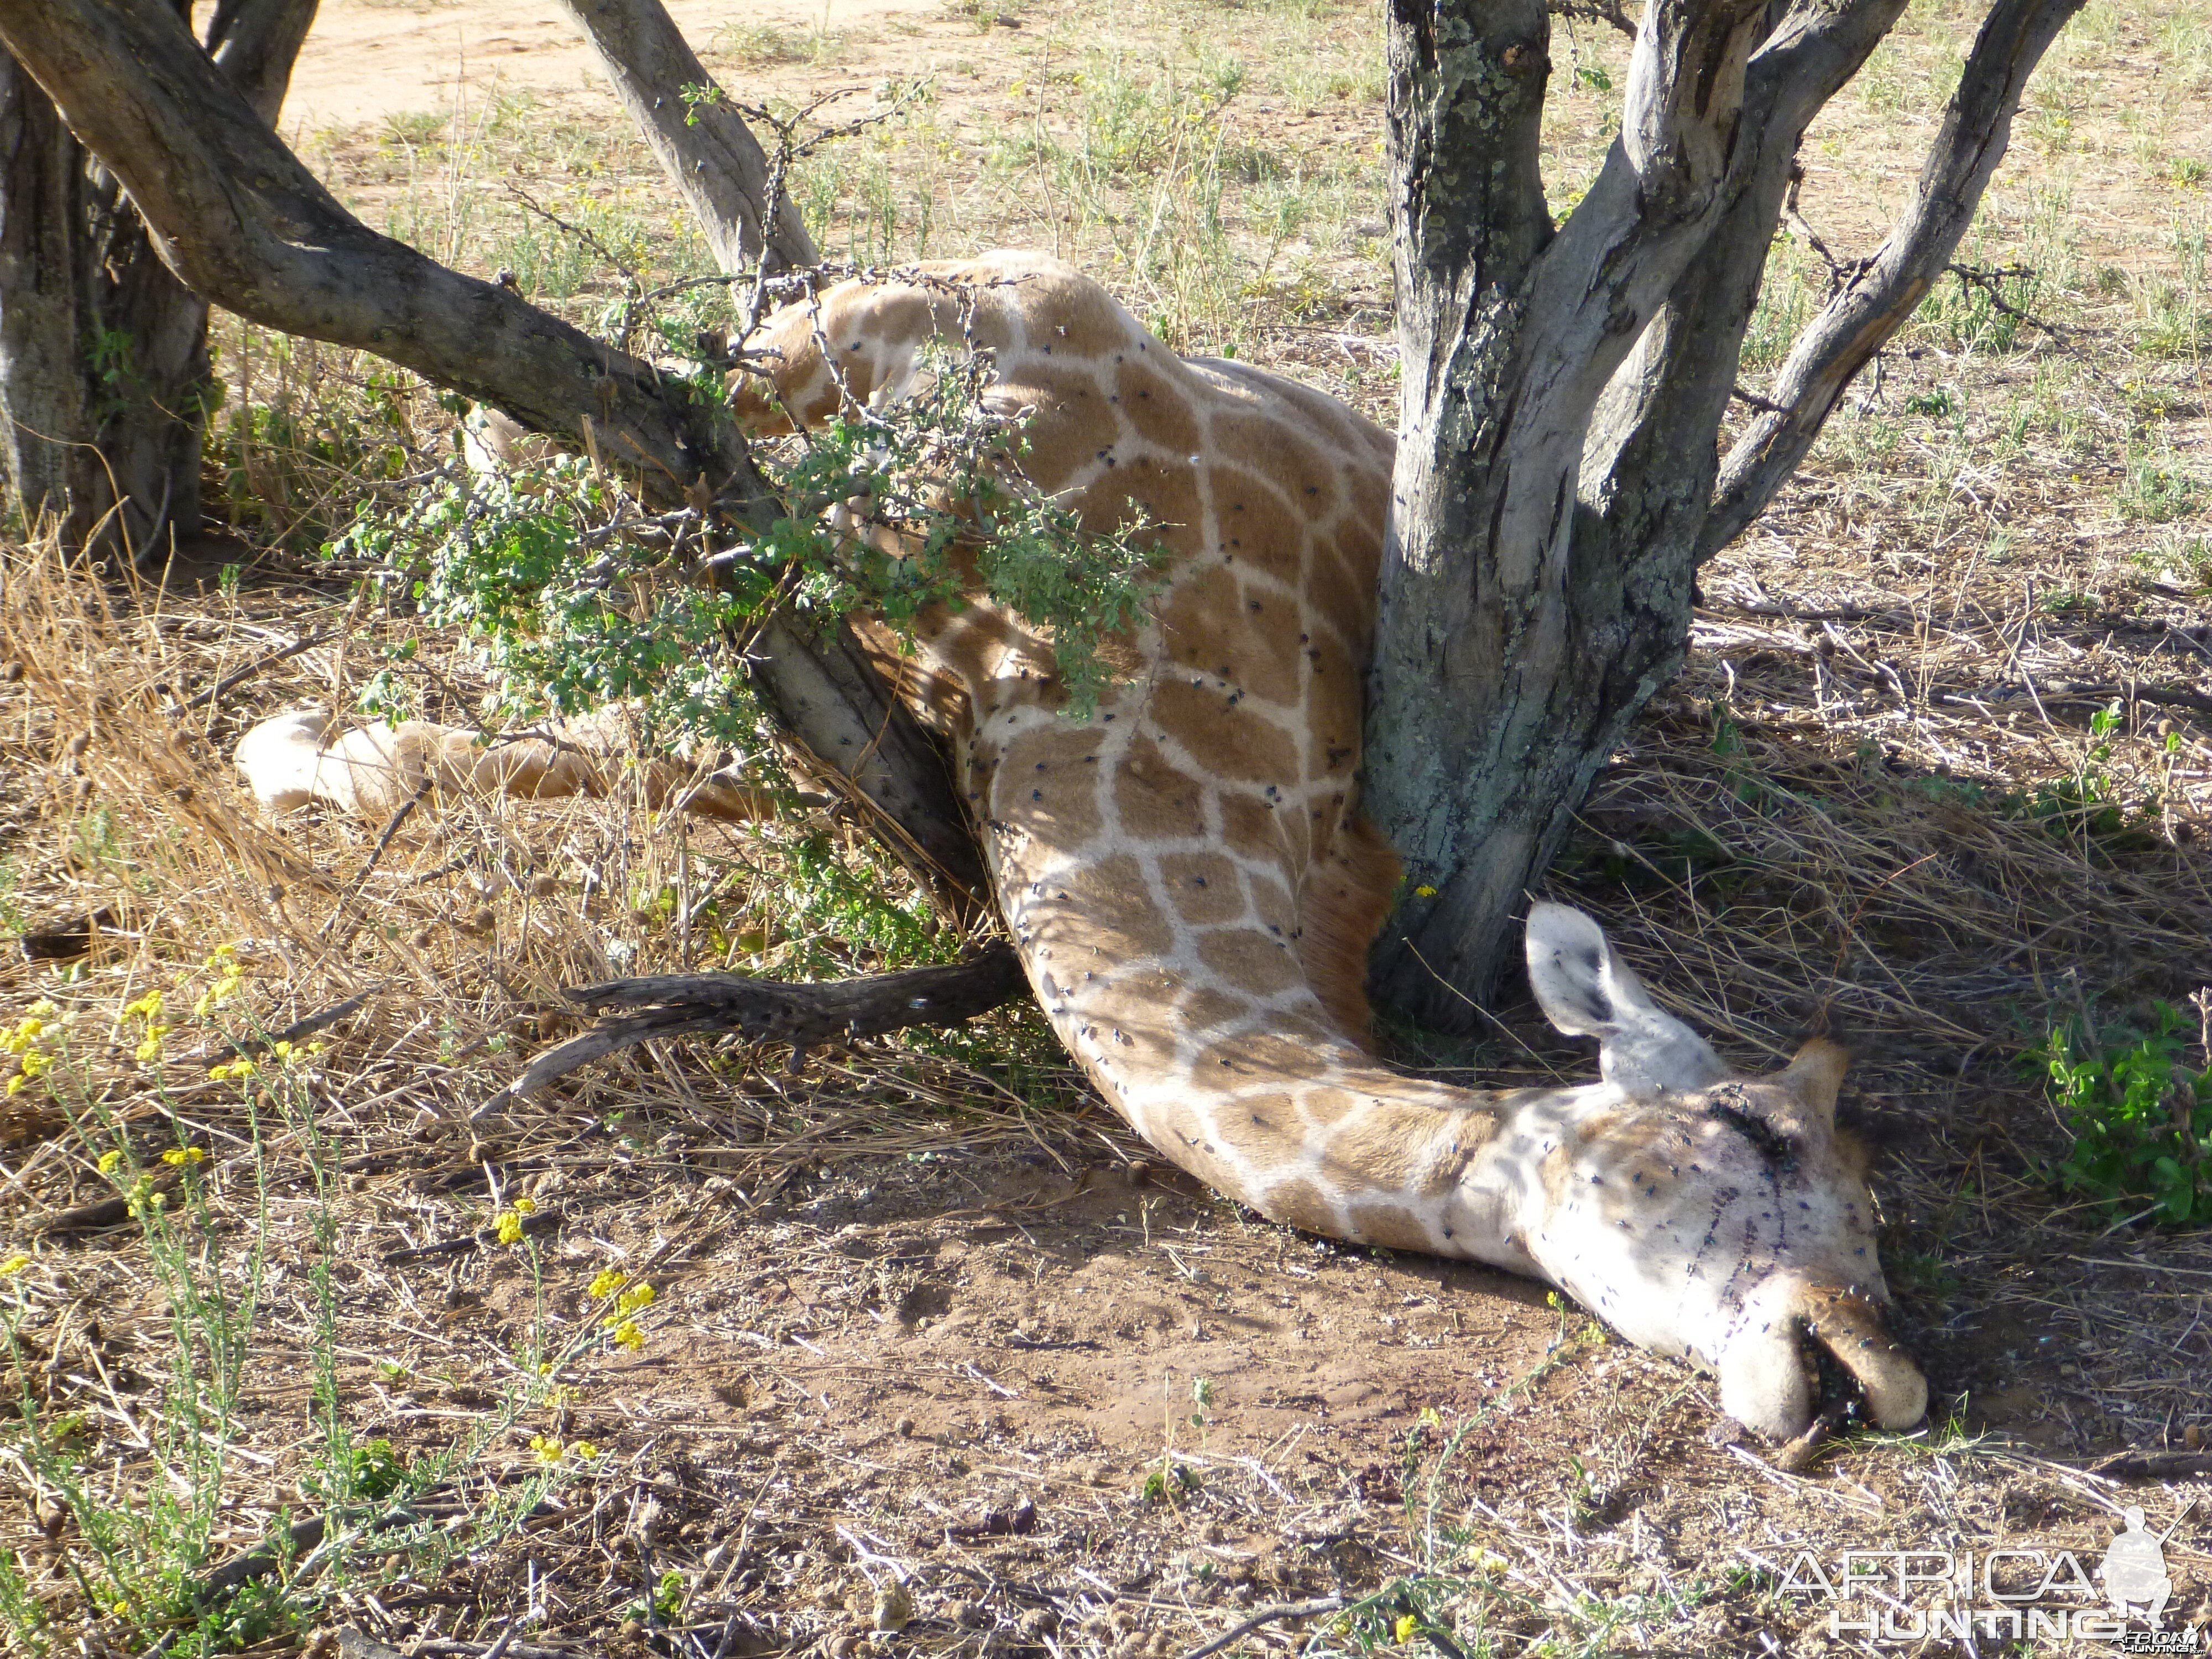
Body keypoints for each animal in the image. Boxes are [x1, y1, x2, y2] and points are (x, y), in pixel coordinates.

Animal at [238, 250, 1920, 1442]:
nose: (1870, 1374)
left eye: (1878, 1206)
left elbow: (599, 747)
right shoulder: (957, 355)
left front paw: (300, 741)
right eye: (1759, 1133)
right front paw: (293, 732)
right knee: (586, 395)